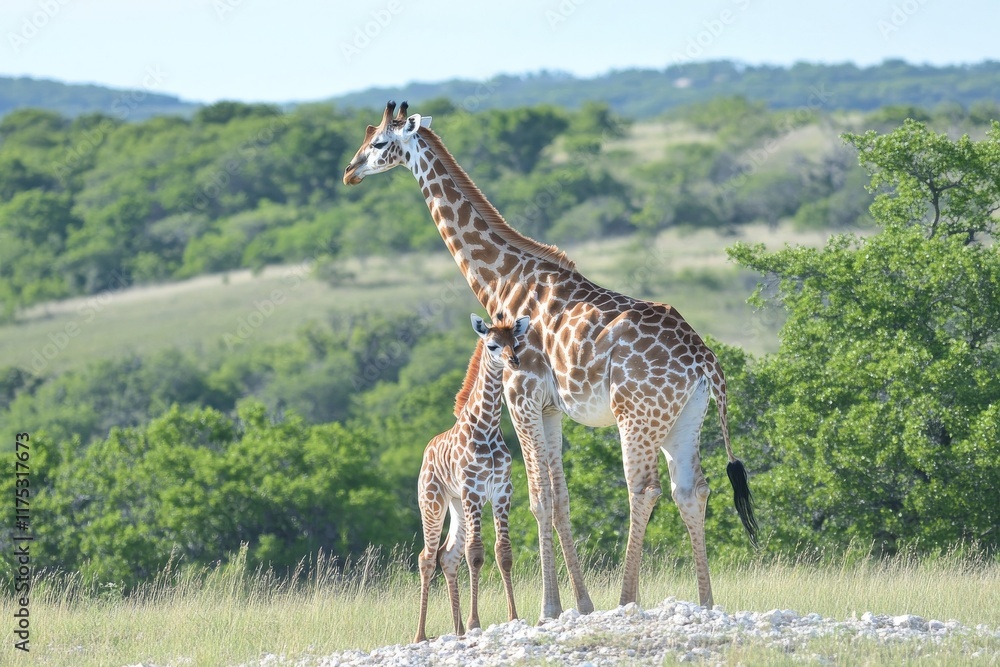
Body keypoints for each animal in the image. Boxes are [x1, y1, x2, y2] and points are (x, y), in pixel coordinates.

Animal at [414, 313, 528, 643]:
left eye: (516, 342)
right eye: (492, 345)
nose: (514, 361)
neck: (487, 427)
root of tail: (427, 451)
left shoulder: (502, 491)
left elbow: (503, 552)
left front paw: (513, 616)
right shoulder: (474, 491)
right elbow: (475, 554)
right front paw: (476, 621)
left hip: (456, 504)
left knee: (447, 555)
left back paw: (458, 629)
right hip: (433, 501)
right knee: (427, 557)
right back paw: (420, 635)